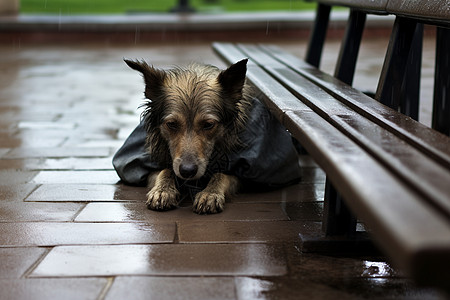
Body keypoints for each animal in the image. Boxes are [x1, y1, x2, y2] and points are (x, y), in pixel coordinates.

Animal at [125, 58, 251, 213]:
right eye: (172, 124)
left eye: (208, 124)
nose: (187, 171)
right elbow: (165, 170)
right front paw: (163, 190)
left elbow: (221, 175)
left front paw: (210, 193)